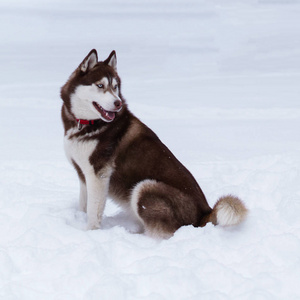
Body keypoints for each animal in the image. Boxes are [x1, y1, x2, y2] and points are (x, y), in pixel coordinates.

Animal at [59, 50, 247, 239]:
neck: (87, 124)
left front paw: (89, 232)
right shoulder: (83, 173)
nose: (117, 103)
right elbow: (84, 205)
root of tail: (204, 213)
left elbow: (93, 211)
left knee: (163, 233)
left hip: (144, 187)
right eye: (100, 85)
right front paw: (79, 219)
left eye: (115, 86)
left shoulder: (98, 175)